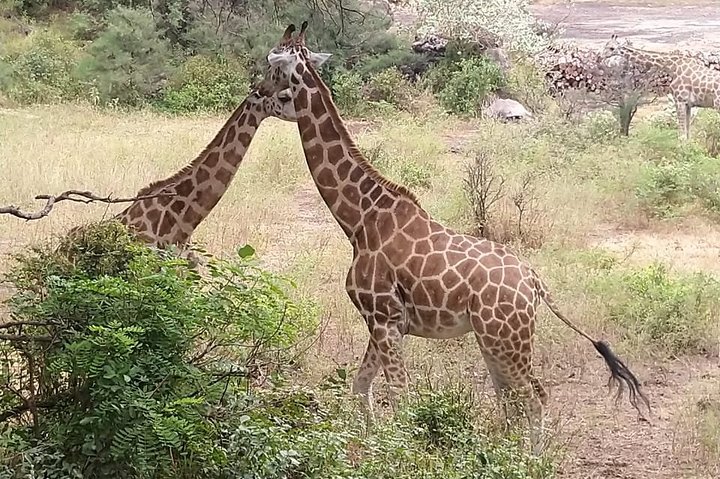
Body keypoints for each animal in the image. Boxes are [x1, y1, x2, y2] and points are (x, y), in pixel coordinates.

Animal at [261, 23, 650, 452]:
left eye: (275, 74)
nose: (256, 92)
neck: (359, 220)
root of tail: (536, 284)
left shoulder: (383, 317)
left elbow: (400, 395)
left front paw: (400, 452)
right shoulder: (384, 322)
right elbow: (361, 385)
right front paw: (372, 443)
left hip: (505, 338)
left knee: (533, 396)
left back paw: (530, 459)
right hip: (494, 338)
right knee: (510, 397)